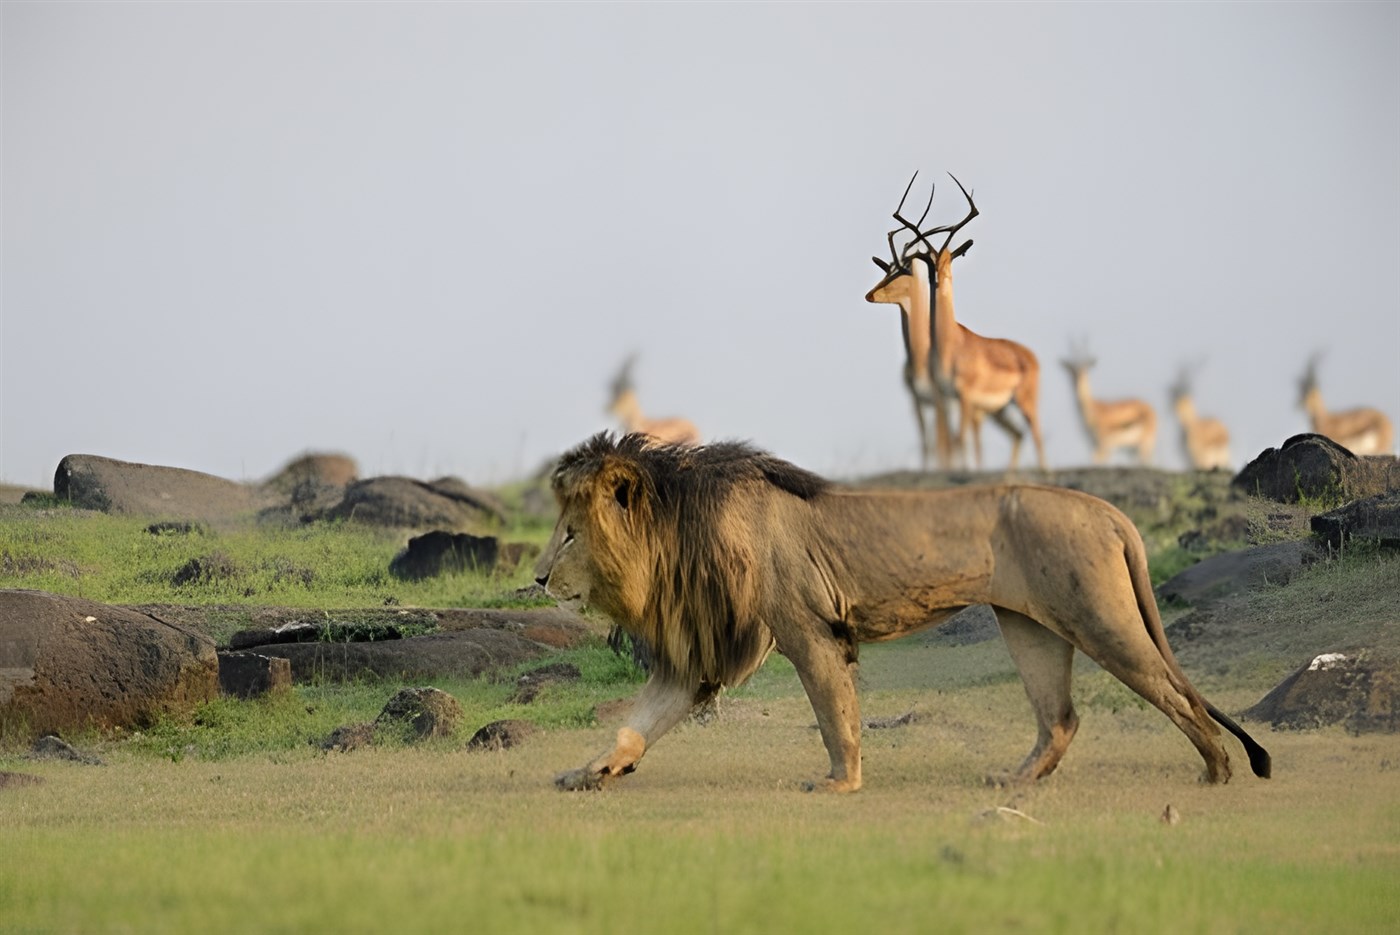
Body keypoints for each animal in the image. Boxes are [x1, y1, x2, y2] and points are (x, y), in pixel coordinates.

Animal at [535, 433, 1271, 793]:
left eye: (570, 534)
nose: (538, 578)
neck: (677, 531)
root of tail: (1111, 512)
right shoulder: (699, 653)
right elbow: (637, 724)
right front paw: (589, 772)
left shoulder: (807, 630)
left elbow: (835, 717)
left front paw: (840, 784)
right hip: (1030, 626)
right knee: (1060, 718)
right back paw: (1015, 781)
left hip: (1101, 619)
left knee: (1179, 694)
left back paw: (1218, 771)